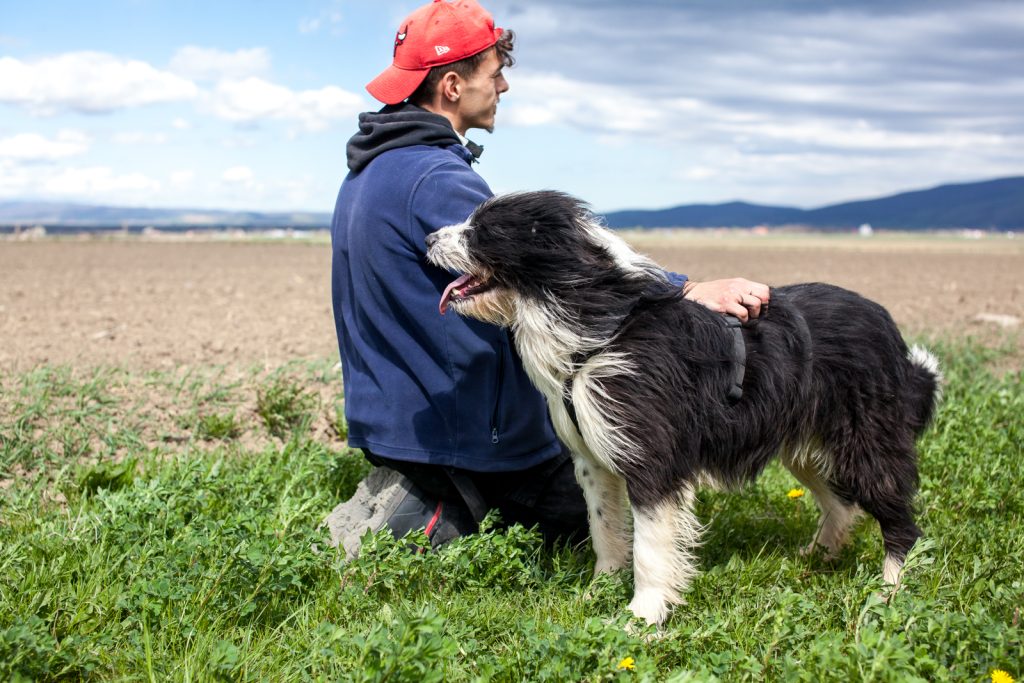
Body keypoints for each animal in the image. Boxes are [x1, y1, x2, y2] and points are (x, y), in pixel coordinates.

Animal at [423, 191, 942, 626]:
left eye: (481, 229)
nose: (427, 238)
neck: (600, 326)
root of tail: (887, 327)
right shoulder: (592, 460)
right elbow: (604, 529)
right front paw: (598, 590)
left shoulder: (654, 460)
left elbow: (650, 550)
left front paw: (642, 619)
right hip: (802, 444)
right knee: (840, 502)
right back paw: (818, 556)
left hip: (866, 441)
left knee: (899, 520)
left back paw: (890, 589)